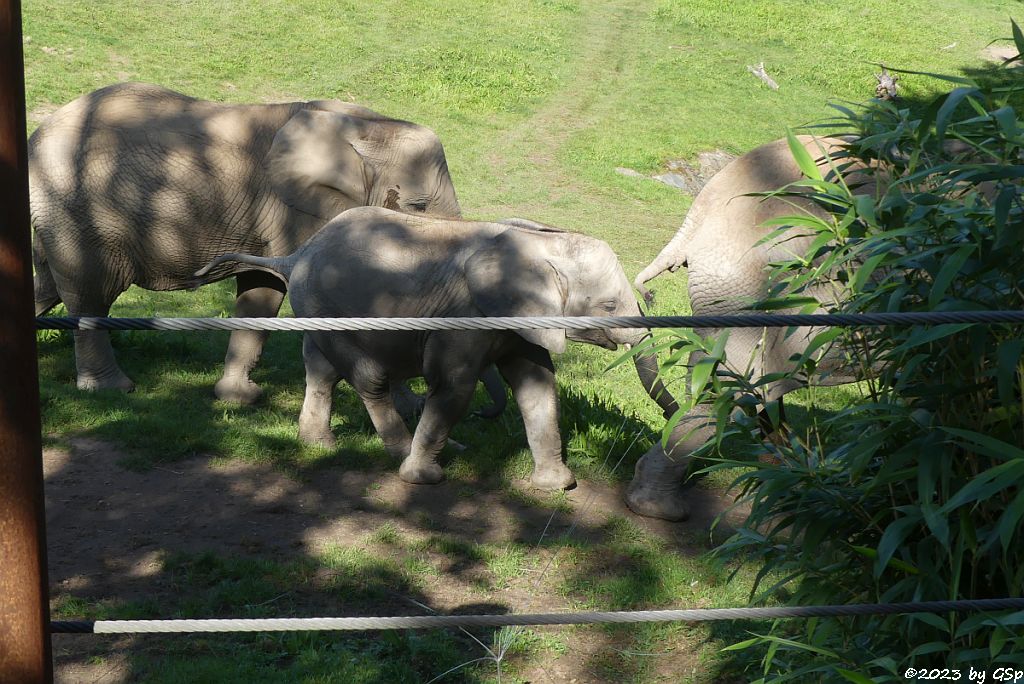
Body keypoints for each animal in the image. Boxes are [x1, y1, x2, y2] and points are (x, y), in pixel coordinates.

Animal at [29, 80, 460, 403]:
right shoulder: (299, 209)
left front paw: (238, 399)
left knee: (47, 285)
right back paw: (112, 389)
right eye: (418, 207)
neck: (365, 125)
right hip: (78, 211)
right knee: (90, 292)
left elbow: (262, 289)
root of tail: (38, 135)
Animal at [192, 205, 679, 489]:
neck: (540, 243)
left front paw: (556, 486)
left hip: (319, 307)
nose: (671, 419)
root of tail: (296, 255)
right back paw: (402, 453)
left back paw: (320, 442)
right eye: (609, 304)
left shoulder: (521, 320)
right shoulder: (465, 317)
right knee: (368, 377)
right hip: (327, 307)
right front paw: (424, 477)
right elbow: (454, 388)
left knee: (322, 370)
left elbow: (537, 385)